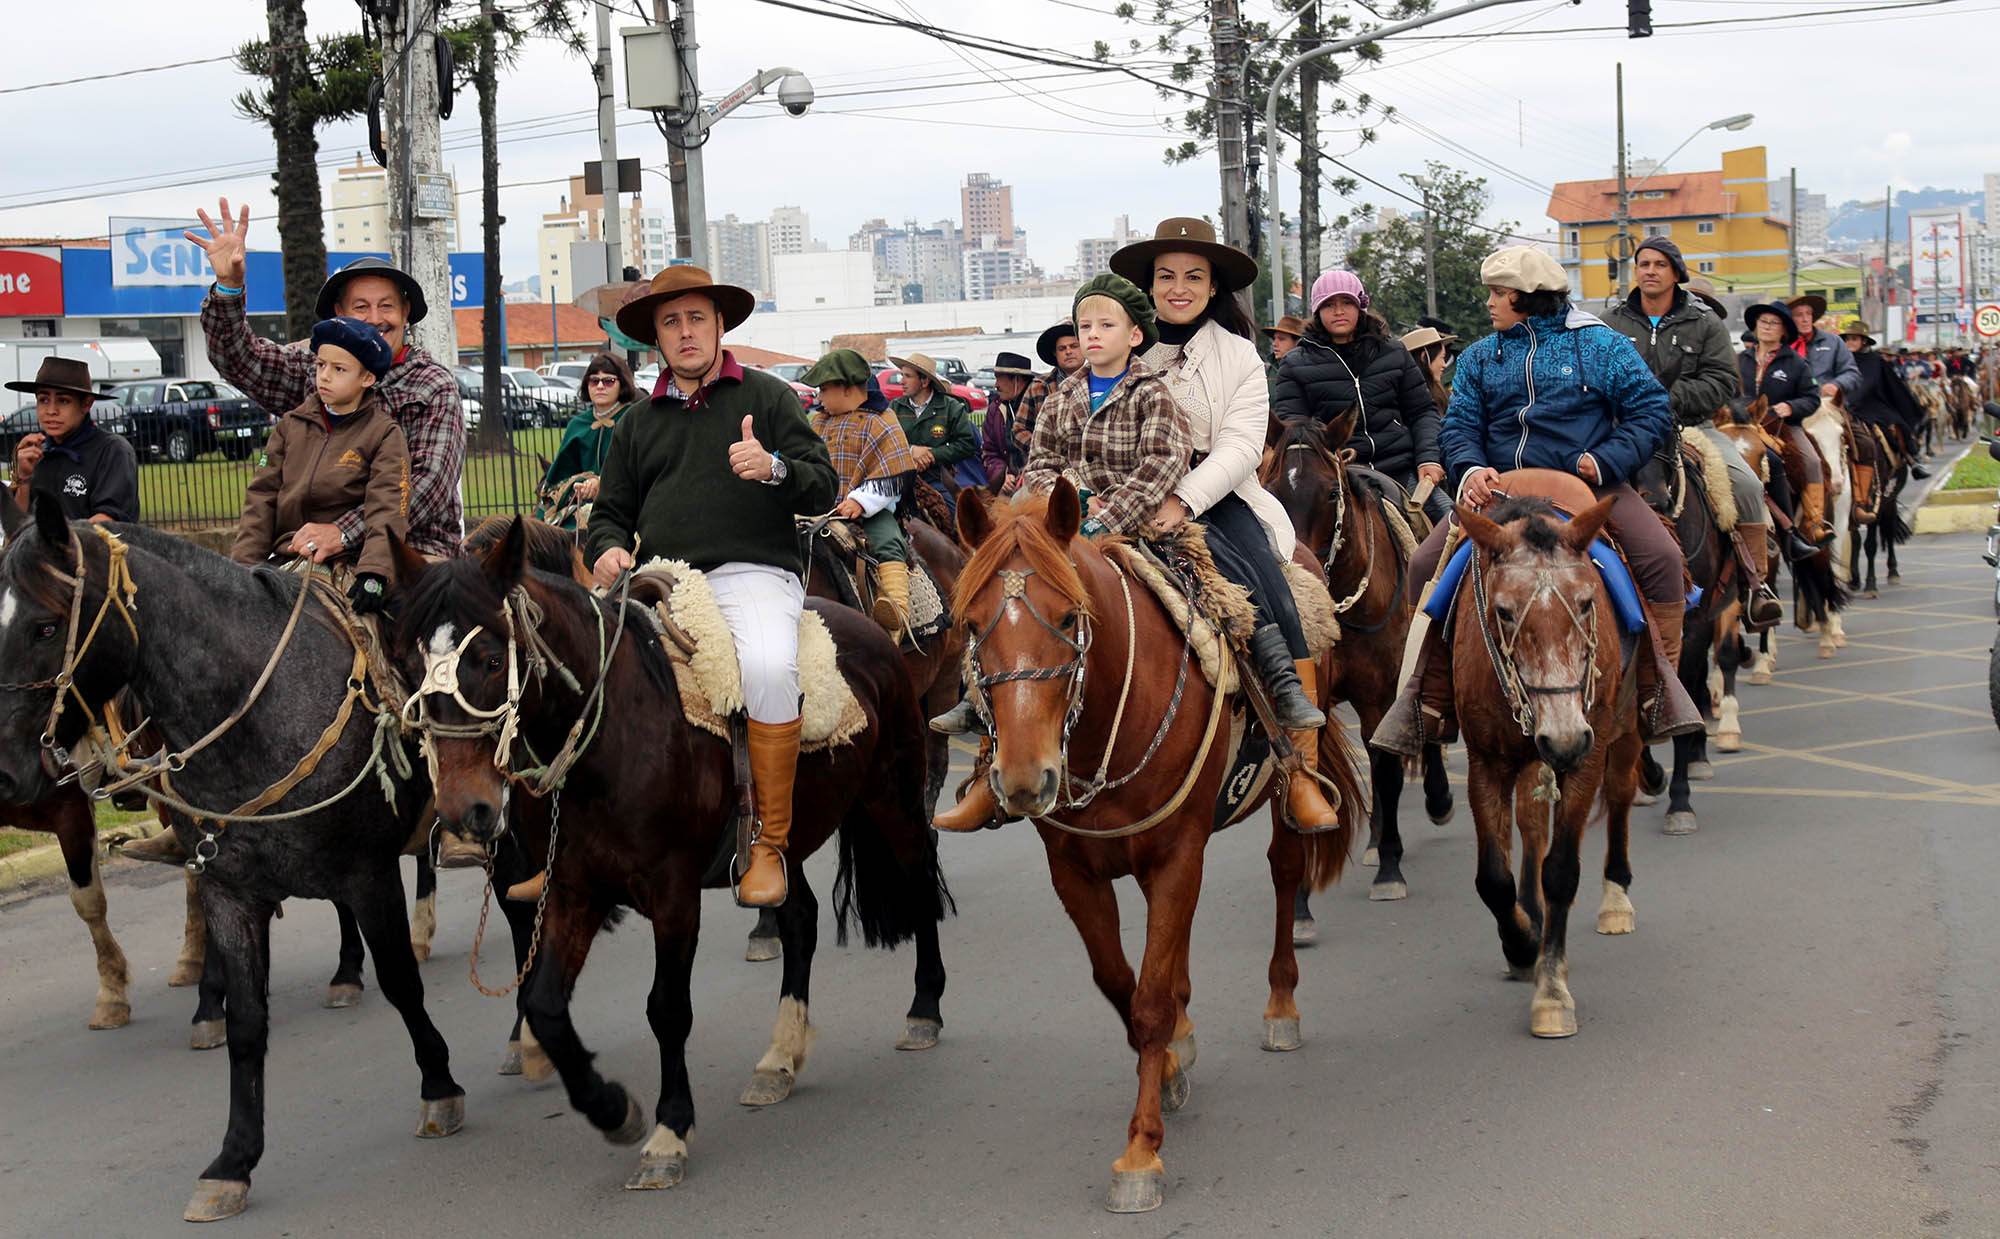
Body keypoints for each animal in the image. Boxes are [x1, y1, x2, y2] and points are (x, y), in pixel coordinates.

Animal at [0, 497, 460, 1223]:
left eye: (45, 625)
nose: (4, 771)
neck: (254, 704)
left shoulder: (369, 872)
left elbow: (402, 984)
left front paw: (439, 1085)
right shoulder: (229, 887)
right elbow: (247, 1026)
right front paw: (232, 1161)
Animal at [390, 519, 952, 1191]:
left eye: (493, 659)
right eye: (411, 665)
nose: (461, 812)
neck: (610, 736)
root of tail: (871, 628)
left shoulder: (673, 893)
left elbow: (667, 1009)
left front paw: (668, 1131)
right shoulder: (574, 887)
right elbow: (545, 1004)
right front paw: (613, 1109)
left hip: (893, 798)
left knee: (918, 878)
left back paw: (924, 1009)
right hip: (779, 847)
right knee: (799, 919)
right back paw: (780, 1057)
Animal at [956, 479, 1376, 1215]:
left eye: (1067, 617)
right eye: (975, 625)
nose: (1024, 778)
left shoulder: (1178, 850)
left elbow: (1148, 999)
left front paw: (1141, 1150)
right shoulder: (1075, 871)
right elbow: (1120, 983)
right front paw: (1172, 1066)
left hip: (1280, 796)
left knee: (1283, 872)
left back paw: (1281, 1005)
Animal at [1264, 409, 1456, 911]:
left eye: (1331, 493)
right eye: (1270, 489)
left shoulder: (1379, 696)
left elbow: (1386, 771)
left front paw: (1390, 869)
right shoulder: (1315, 701)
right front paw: (1300, 895)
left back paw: (1438, 801)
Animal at [1456, 491, 1640, 1039]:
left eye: (1585, 603)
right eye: (1503, 611)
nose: (1563, 739)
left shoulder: (1588, 756)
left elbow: (1561, 871)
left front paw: (1552, 990)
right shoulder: (1486, 761)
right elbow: (1493, 879)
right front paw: (1520, 944)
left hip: (1623, 729)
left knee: (1620, 792)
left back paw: (1615, 896)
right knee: (1532, 823)